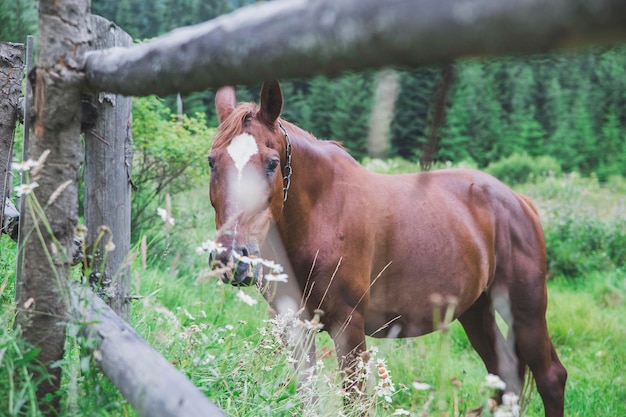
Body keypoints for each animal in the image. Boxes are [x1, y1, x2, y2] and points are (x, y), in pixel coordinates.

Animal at [206, 79, 564, 414]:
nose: (233, 258)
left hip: (526, 310)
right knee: (504, 377)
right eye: (212, 162)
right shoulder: (295, 326)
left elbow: (355, 401)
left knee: (551, 377)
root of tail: (519, 201)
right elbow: (309, 398)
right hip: (476, 311)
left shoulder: (348, 328)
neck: (322, 213)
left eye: (271, 163)